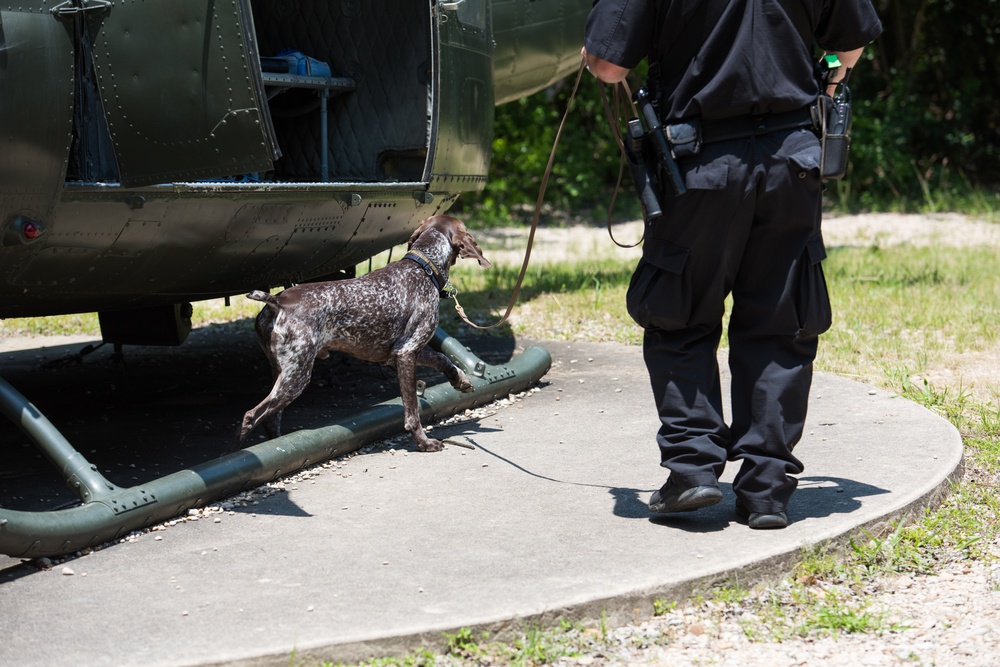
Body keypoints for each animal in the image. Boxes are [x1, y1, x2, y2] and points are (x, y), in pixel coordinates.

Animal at [234, 217, 492, 452]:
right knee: (251, 416)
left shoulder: (402, 352)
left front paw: (460, 379)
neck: (423, 267)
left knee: (270, 419)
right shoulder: (406, 353)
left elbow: (442, 358)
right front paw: (424, 442)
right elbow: (412, 410)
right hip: (297, 376)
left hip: (283, 372)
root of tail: (277, 301)